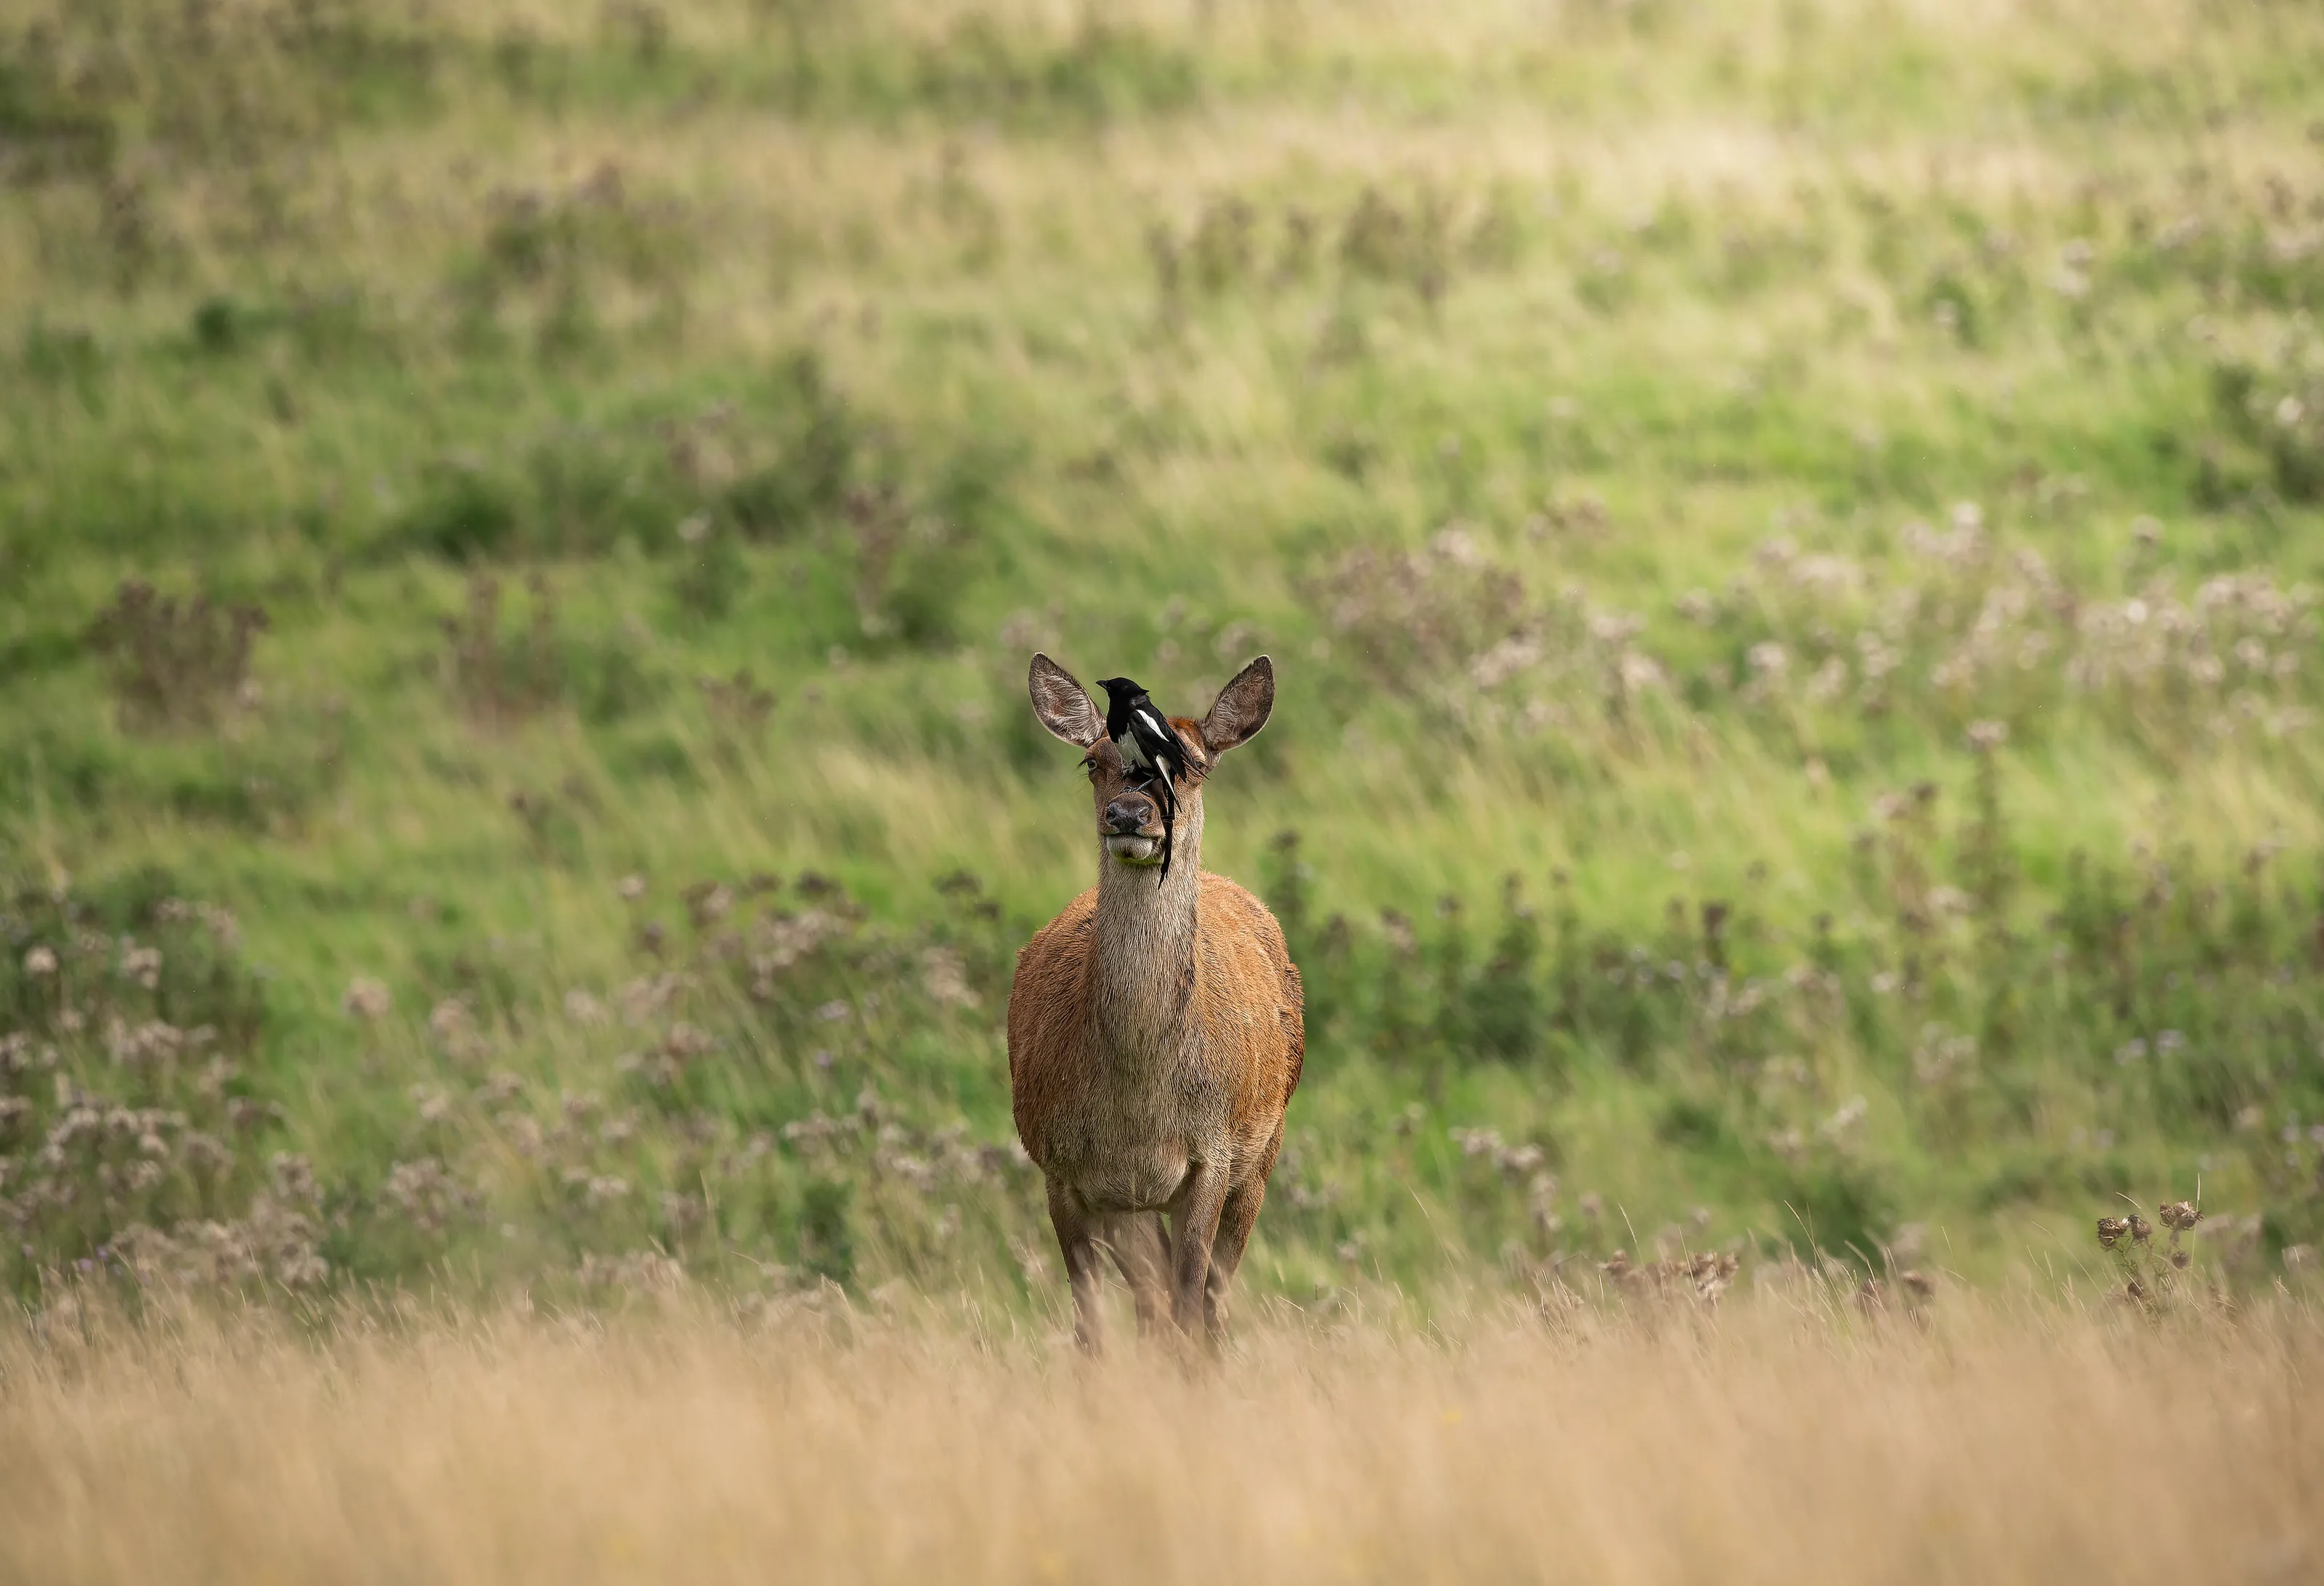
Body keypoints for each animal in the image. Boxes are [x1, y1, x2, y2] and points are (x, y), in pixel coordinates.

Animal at [1008, 653, 1304, 1354]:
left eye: (1190, 763)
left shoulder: (1211, 1156)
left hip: (1264, 1150)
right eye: (1092, 761)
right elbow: (1092, 1328)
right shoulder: (1063, 1169)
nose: (1128, 814)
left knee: (1208, 1305)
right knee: (1153, 1305)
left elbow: (1193, 1307)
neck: (1141, 1100)